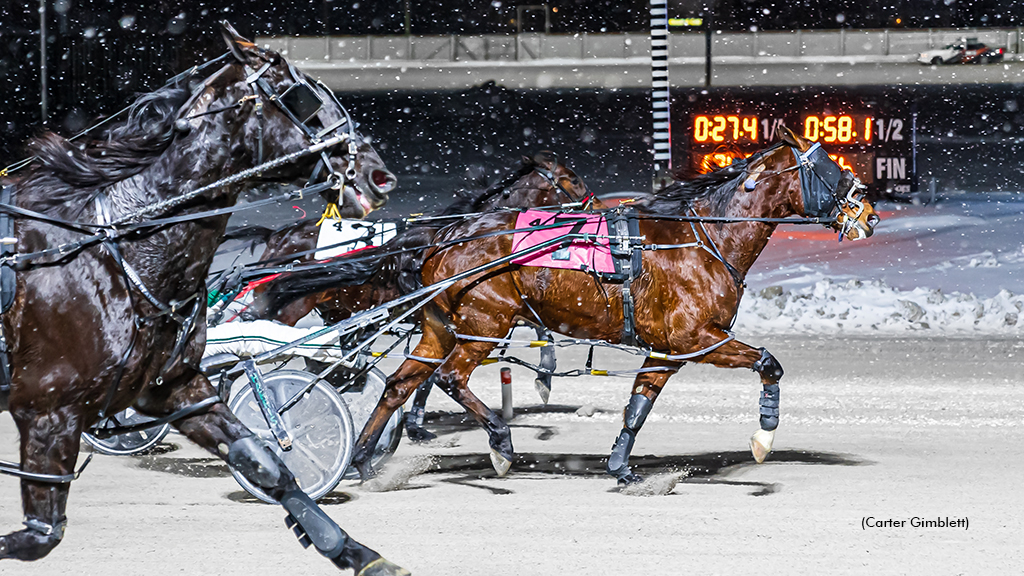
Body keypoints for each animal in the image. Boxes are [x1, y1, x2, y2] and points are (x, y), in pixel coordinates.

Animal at [0, 23, 407, 573]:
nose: (379, 175)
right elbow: (41, 534)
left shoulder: (173, 386)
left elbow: (264, 461)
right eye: (302, 98)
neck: (114, 241)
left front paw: (355, 551)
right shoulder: (47, 407)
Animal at [339, 124, 876, 479]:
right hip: (484, 323)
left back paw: (361, 460)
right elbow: (769, 363)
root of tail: (445, 236)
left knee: (400, 383)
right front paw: (764, 436)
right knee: (450, 377)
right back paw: (500, 444)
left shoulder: (668, 348)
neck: (702, 239)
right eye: (829, 168)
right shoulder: (699, 338)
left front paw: (620, 464)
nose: (869, 213)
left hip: (439, 327)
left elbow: (639, 405)